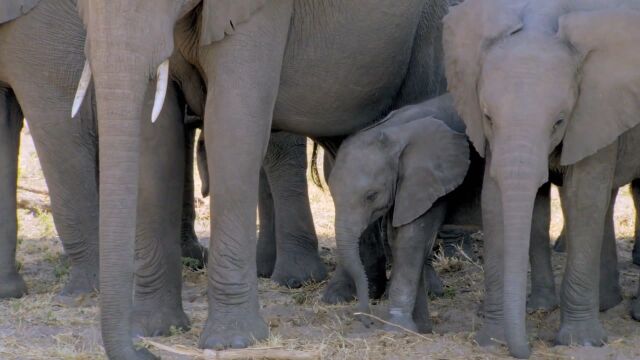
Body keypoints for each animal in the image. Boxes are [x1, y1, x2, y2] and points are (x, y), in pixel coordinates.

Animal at [74, 0, 450, 356]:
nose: (143, 355)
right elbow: (154, 139)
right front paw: (153, 331)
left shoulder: (262, 11)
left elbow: (233, 125)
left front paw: (233, 341)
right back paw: (349, 293)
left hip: (429, 25)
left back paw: (422, 292)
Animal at [444, 0, 640, 356]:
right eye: (488, 117)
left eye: (559, 121)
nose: (528, 349)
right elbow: (495, 202)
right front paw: (494, 340)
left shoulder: (595, 108)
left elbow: (583, 198)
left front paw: (581, 342)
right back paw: (600, 304)